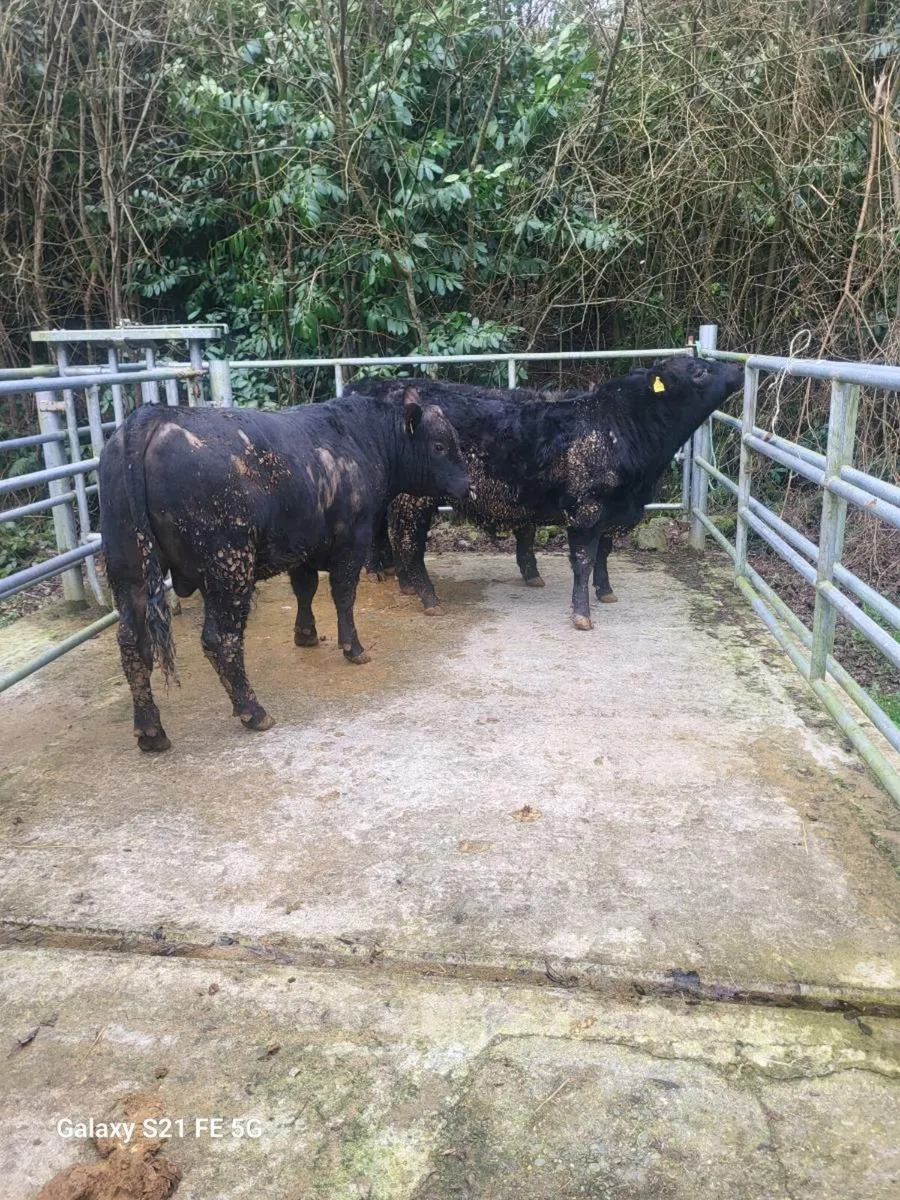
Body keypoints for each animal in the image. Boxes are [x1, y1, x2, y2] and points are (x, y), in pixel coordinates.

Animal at [100, 387, 469, 752]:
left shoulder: (302, 545)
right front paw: (353, 648)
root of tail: (152, 415)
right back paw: (253, 711)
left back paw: (151, 731)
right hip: (228, 567)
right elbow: (343, 595)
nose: (468, 485)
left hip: (128, 572)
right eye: (439, 446)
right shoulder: (352, 540)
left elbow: (305, 588)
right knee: (220, 639)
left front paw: (305, 634)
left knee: (133, 643)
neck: (362, 438)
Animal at [348, 356, 744, 630]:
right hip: (413, 501)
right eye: (699, 370)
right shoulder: (586, 508)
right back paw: (428, 598)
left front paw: (606, 591)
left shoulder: (614, 510)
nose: (738, 368)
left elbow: (604, 553)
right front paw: (582, 614)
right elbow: (583, 560)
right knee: (409, 545)